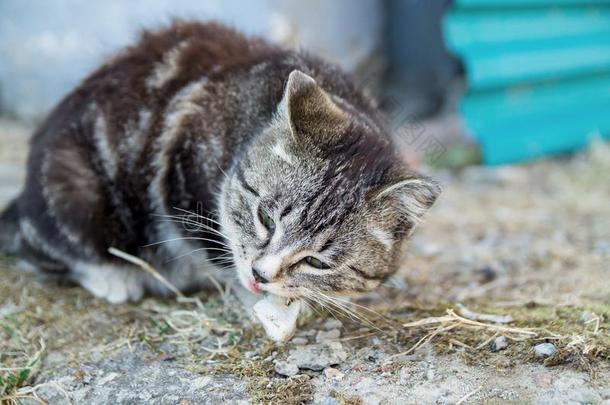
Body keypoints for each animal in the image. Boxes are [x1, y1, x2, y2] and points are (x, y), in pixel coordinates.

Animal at [0, 19, 436, 304]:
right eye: (266, 219)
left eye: (316, 261)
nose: (261, 275)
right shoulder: (179, 173)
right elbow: (212, 243)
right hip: (72, 186)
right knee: (43, 246)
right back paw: (115, 277)